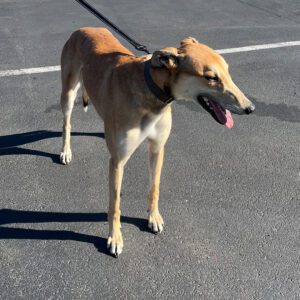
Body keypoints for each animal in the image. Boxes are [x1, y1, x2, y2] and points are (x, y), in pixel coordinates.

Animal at [59, 28, 254, 256]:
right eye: (211, 77)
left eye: (227, 71)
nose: (250, 108)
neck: (150, 91)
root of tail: (82, 29)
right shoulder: (117, 162)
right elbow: (115, 204)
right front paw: (115, 238)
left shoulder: (157, 148)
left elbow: (155, 188)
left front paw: (153, 218)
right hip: (68, 92)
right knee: (67, 124)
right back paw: (65, 151)